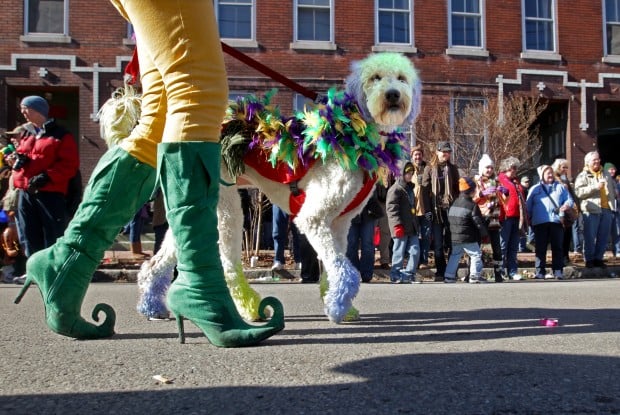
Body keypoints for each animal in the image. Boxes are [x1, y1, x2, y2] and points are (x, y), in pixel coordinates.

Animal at [132, 52, 422, 324]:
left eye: (401, 78)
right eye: (375, 78)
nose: (393, 94)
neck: (352, 134)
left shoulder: (339, 224)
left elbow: (334, 266)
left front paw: (337, 303)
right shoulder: (313, 218)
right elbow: (345, 269)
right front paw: (338, 308)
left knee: (160, 259)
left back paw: (151, 305)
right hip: (227, 209)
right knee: (228, 266)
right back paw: (249, 307)